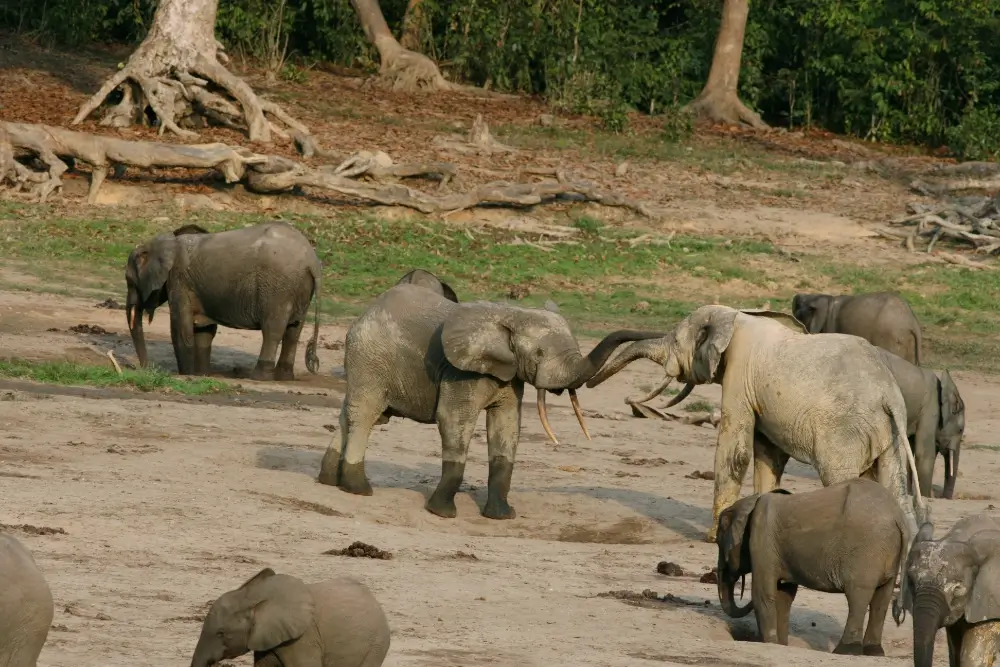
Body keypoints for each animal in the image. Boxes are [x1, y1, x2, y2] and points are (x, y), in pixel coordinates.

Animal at [125, 221, 323, 381]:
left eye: (129, 280)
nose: (145, 368)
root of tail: (311, 260)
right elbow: (204, 331)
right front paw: (201, 375)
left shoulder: (179, 281)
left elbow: (181, 329)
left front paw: (186, 374)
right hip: (299, 288)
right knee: (293, 332)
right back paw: (284, 377)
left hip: (277, 288)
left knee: (272, 331)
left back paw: (258, 377)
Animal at [317, 283, 664, 519]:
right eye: (538, 353)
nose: (658, 331)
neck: (511, 316)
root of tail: (367, 311)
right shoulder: (460, 371)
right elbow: (453, 421)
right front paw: (442, 513)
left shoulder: (509, 375)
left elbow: (506, 426)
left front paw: (501, 516)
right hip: (369, 359)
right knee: (366, 414)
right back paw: (359, 489)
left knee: (350, 414)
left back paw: (328, 481)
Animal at [586, 304, 927, 545]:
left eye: (676, 340)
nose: (588, 383)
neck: (736, 315)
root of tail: (888, 394)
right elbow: (768, 455)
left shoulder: (739, 377)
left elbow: (735, 450)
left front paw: (712, 537)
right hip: (887, 433)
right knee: (893, 484)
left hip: (844, 432)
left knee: (843, 478)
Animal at [716, 479, 908, 655]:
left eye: (718, 542)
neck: (749, 502)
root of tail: (897, 516)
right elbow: (784, 595)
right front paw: (781, 645)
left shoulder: (763, 541)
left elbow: (762, 594)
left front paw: (770, 643)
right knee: (881, 598)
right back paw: (873, 651)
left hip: (866, 551)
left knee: (858, 597)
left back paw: (845, 651)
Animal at [876, 348, 966, 499]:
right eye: (960, 430)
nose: (944, 497)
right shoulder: (930, 409)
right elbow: (924, 454)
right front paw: (926, 497)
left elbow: (912, 453)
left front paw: (911, 494)